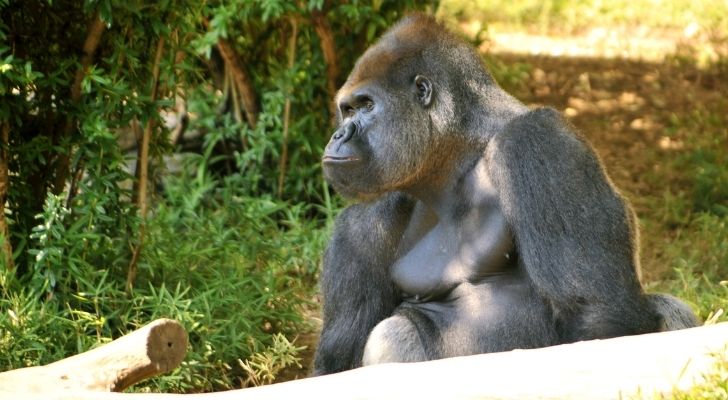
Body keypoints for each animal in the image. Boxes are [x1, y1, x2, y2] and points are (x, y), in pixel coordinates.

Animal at [314, 13, 700, 376]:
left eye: (366, 106)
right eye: (347, 110)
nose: (337, 135)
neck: (455, 154)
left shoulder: (538, 140)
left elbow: (598, 313)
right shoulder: (363, 223)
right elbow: (338, 359)